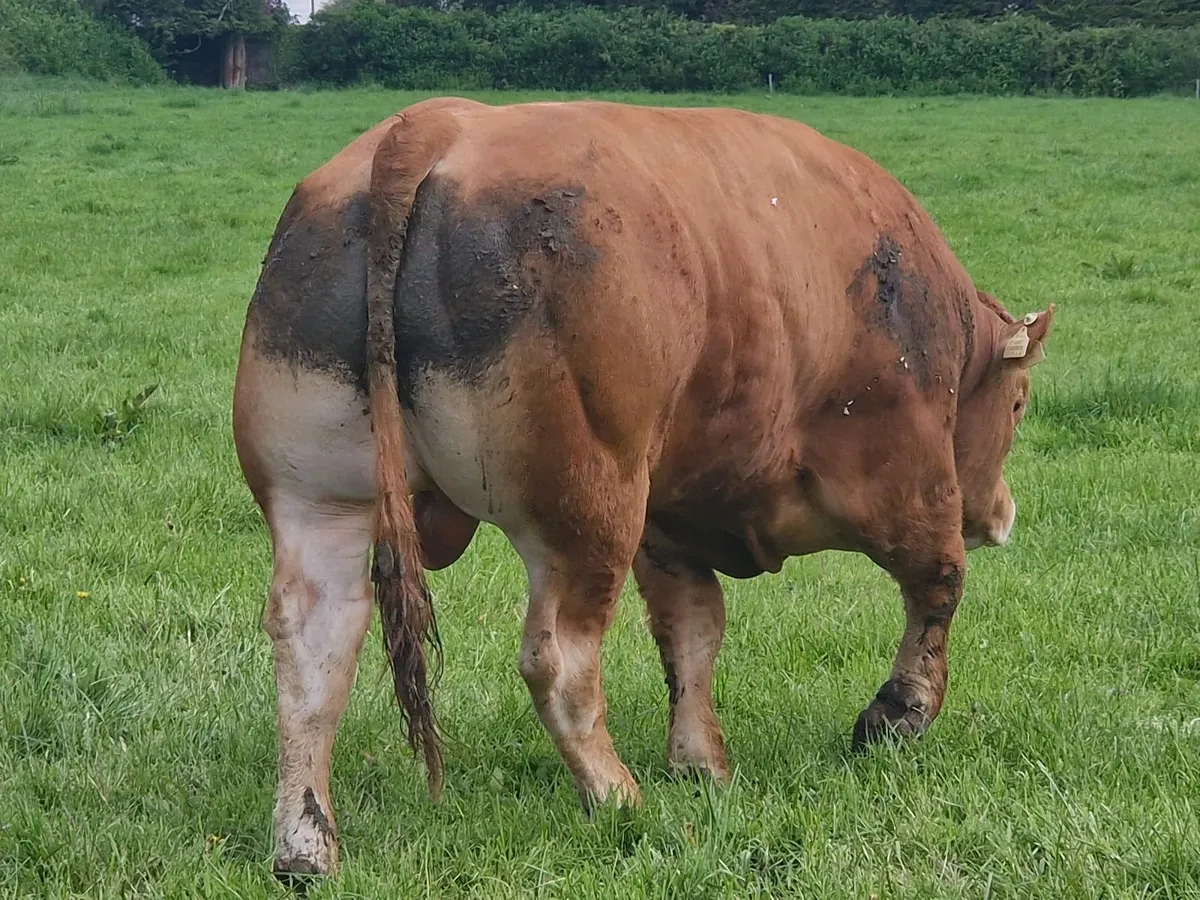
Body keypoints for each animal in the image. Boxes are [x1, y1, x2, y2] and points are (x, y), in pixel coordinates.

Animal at [232, 96, 1053, 879]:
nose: (1002, 514)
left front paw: (701, 763)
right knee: (557, 658)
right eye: (1018, 404)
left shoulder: (670, 520)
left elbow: (692, 632)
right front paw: (896, 715)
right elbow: (938, 583)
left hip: (321, 504)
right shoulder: (907, 477)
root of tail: (431, 127)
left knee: (315, 646)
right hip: (585, 514)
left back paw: (304, 845)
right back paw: (617, 795)